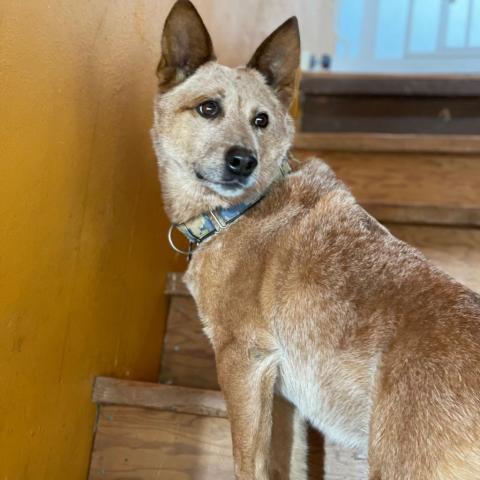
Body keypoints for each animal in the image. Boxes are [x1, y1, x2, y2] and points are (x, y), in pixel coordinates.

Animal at [152, 1, 480, 478]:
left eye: (261, 120)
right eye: (208, 108)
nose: (244, 161)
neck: (238, 212)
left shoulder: (242, 359)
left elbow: (247, 461)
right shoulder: (287, 397)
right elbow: (289, 463)